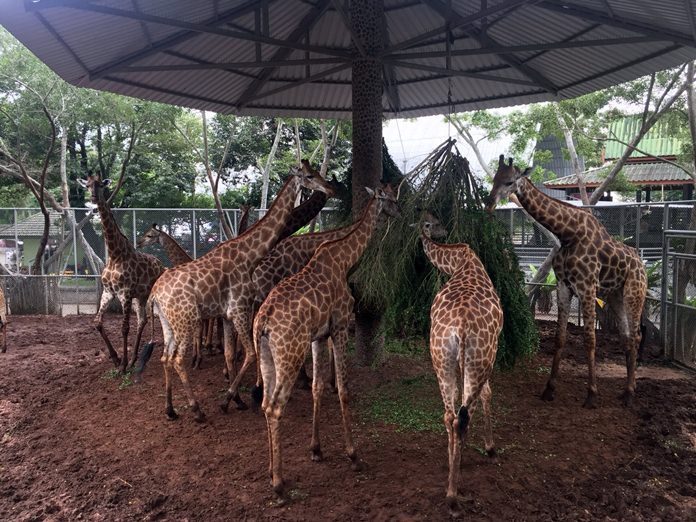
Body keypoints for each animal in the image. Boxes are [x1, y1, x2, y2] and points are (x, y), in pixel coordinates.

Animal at [79, 173, 164, 373]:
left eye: (100, 185)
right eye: (87, 185)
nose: (93, 198)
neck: (115, 254)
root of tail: (161, 264)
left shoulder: (125, 292)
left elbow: (124, 327)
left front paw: (122, 366)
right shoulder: (109, 292)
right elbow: (97, 322)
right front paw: (117, 359)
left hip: (149, 295)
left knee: (150, 319)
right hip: (140, 297)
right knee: (142, 320)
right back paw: (134, 360)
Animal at [148, 165, 335, 423]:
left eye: (316, 172)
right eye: (309, 176)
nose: (329, 188)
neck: (250, 255)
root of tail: (155, 294)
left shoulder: (228, 315)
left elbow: (230, 352)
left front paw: (236, 398)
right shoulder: (240, 308)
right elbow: (250, 354)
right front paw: (231, 400)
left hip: (169, 323)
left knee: (165, 357)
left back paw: (171, 410)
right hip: (186, 321)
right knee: (176, 359)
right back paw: (197, 410)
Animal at [252, 185, 400, 498]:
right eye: (391, 198)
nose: (400, 211)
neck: (345, 260)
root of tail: (263, 324)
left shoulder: (318, 336)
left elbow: (317, 387)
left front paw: (316, 449)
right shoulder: (341, 327)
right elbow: (343, 389)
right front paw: (353, 455)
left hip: (268, 356)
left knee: (265, 403)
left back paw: (271, 471)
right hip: (291, 354)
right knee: (275, 407)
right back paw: (279, 484)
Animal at [419, 211, 503, 511]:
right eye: (433, 223)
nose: (442, 232)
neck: (461, 260)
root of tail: (462, 327)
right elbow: (488, 395)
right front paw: (489, 448)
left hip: (441, 357)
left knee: (450, 414)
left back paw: (450, 477)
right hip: (480, 359)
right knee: (465, 414)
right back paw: (454, 493)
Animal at [487, 156, 647, 408]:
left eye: (510, 181)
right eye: (494, 178)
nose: (489, 203)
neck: (567, 234)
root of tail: (641, 264)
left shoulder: (587, 287)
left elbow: (590, 339)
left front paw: (591, 394)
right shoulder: (563, 286)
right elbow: (560, 338)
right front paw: (549, 389)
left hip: (634, 292)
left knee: (637, 335)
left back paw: (631, 393)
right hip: (615, 295)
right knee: (626, 336)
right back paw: (626, 391)